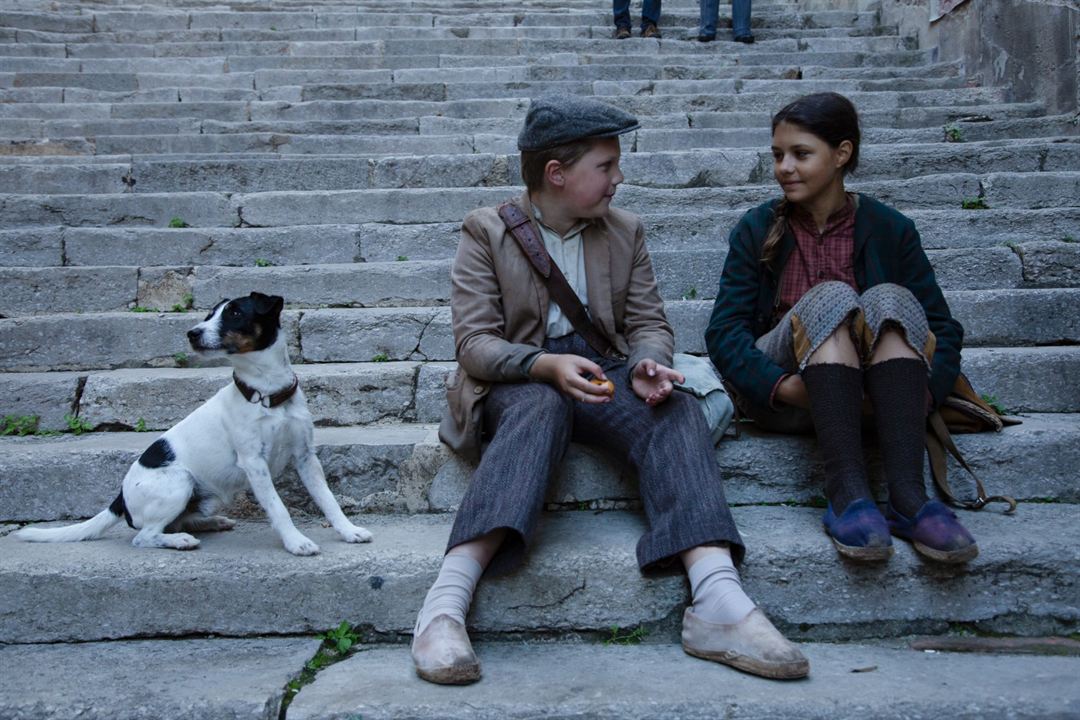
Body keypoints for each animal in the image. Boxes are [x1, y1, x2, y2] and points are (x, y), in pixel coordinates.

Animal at [13, 289, 371, 557]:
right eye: (209, 315)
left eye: (234, 313)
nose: (192, 333)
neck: (267, 394)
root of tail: (120, 500)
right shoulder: (254, 463)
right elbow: (278, 508)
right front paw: (296, 542)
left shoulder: (306, 457)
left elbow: (328, 500)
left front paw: (349, 531)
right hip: (180, 482)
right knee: (144, 536)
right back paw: (179, 541)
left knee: (173, 523)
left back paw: (210, 524)